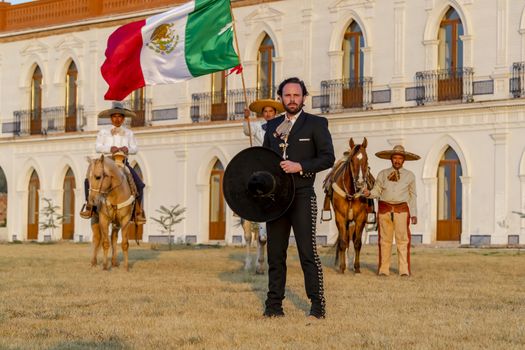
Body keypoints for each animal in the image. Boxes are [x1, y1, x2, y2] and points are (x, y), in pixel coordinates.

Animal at [326, 137, 374, 274]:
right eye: (352, 160)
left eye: (366, 159)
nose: (360, 183)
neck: (351, 193)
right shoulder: (341, 217)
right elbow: (343, 242)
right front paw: (342, 267)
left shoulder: (361, 218)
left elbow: (357, 242)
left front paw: (357, 267)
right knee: (346, 240)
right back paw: (346, 263)